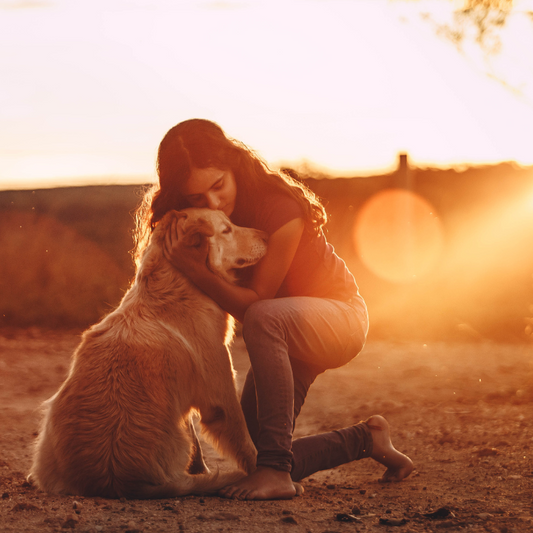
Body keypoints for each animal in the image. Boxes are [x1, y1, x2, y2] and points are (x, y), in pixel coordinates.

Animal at [29, 208, 266, 498]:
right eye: (227, 229)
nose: (267, 235)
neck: (176, 286)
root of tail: (116, 481)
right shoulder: (221, 393)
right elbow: (244, 439)